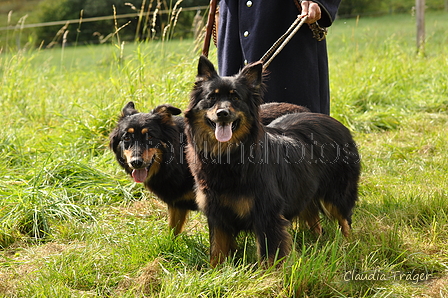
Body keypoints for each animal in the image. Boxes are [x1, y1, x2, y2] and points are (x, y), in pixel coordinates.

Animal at [184, 56, 362, 266]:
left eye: (236, 98)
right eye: (211, 97)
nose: (222, 113)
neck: (228, 156)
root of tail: (336, 122)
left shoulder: (267, 214)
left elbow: (268, 256)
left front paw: (270, 275)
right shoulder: (216, 214)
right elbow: (217, 251)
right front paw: (217, 271)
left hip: (336, 194)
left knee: (344, 220)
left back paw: (348, 246)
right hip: (305, 190)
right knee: (315, 222)